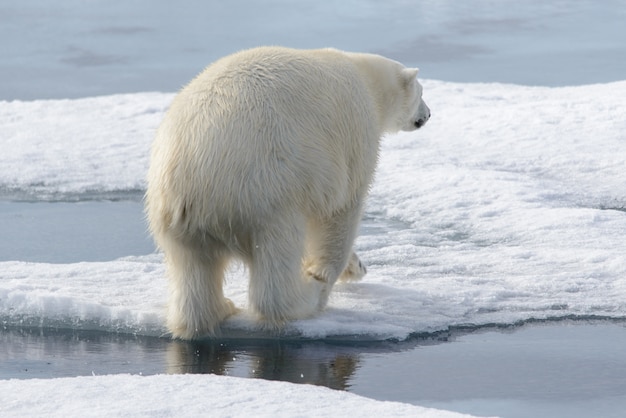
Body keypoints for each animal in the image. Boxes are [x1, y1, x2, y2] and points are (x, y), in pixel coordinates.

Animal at [146, 46, 428, 340]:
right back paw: (308, 295)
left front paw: (356, 265)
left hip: (176, 221)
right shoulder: (354, 135)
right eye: (422, 91)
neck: (365, 77)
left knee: (192, 270)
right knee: (277, 261)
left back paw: (218, 310)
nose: (428, 114)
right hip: (266, 192)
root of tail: (191, 172)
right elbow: (341, 212)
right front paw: (335, 272)